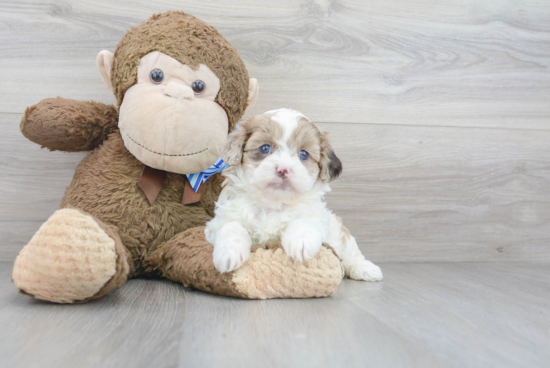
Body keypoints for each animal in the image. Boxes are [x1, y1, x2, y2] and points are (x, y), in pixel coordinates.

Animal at [204, 108, 384, 280]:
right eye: (264, 148)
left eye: (303, 154)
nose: (283, 169)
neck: (274, 204)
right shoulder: (219, 220)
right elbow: (230, 226)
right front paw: (229, 253)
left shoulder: (317, 217)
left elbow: (304, 222)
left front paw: (301, 243)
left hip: (339, 234)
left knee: (350, 252)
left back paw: (365, 269)